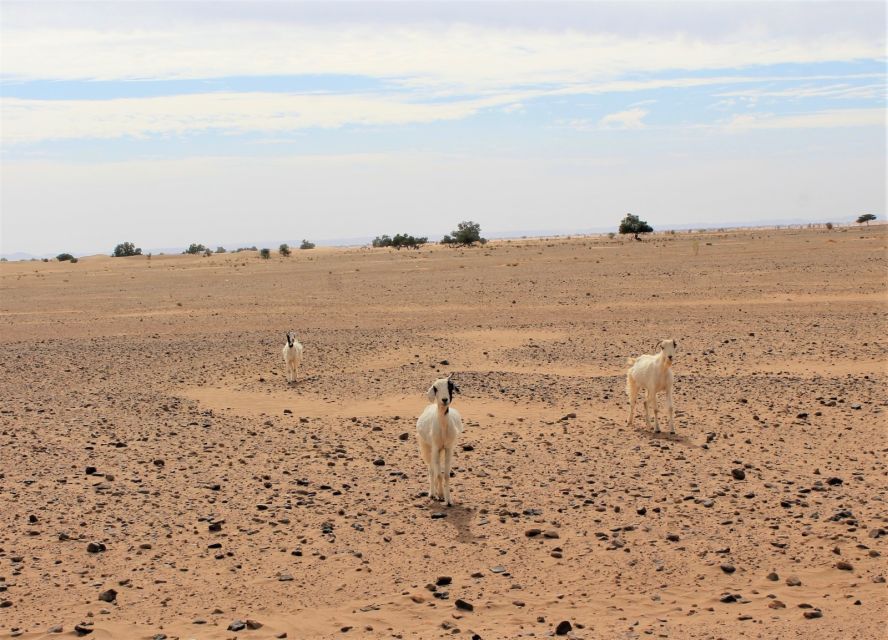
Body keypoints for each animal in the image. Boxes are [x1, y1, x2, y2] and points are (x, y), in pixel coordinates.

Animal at [414, 376, 462, 504]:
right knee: (431, 470)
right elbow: (438, 474)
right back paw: (432, 493)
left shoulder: (448, 448)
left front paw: (448, 500)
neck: (443, 428)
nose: (444, 400)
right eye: (435, 388)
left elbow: (446, 475)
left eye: (450, 385)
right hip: (426, 448)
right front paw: (440, 494)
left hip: (439, 451)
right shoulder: (435, 448)